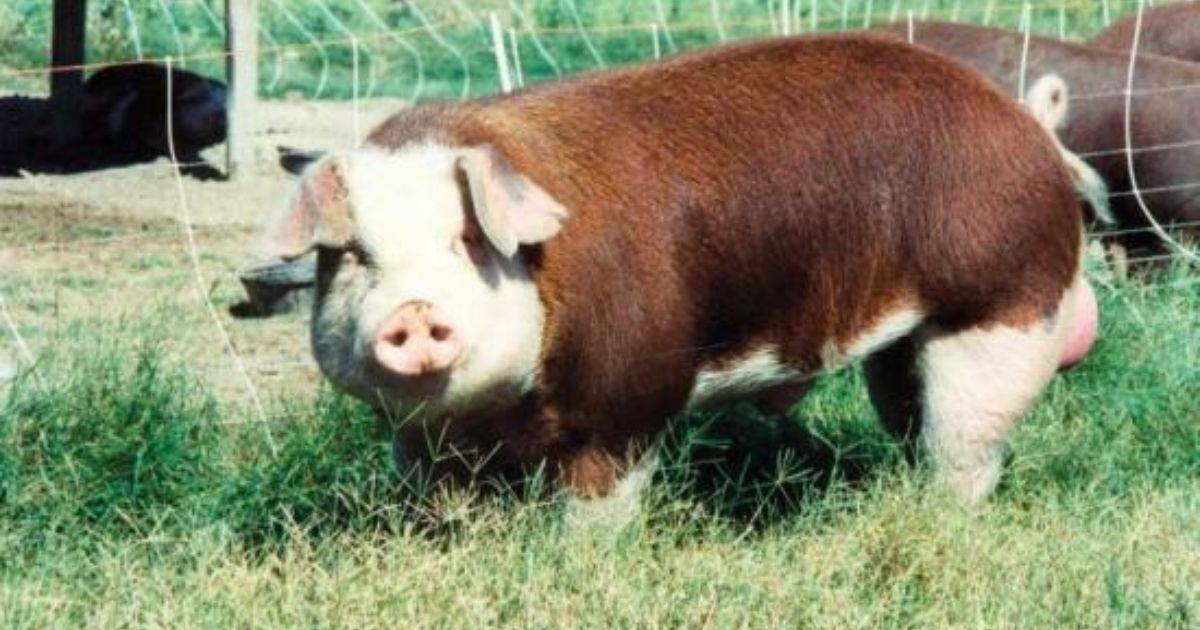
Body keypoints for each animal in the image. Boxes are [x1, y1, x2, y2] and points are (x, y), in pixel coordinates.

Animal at [261, 35, 1100, 518]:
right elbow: (437, 500)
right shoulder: (417, 438)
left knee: (966, 444)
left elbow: (601, 498)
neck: (497, 411)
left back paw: (940, 518)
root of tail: (1026, 123)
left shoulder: (626, 391)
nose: (414, 313)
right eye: (355, 256)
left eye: (468, 241)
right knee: (909, 411)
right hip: (907, 341)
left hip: (1001, 305)